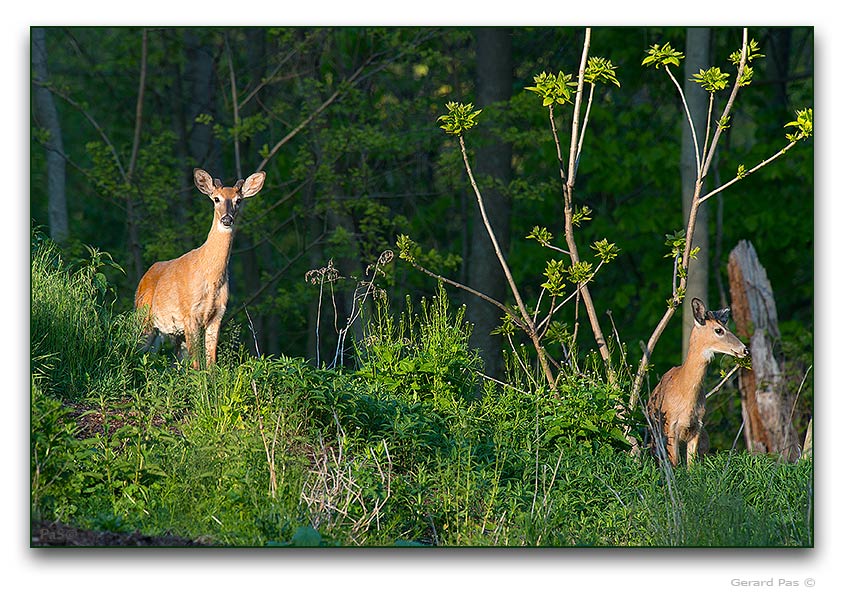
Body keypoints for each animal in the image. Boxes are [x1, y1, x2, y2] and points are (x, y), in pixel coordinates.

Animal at [135, 166, 268, 368]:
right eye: (216, 199)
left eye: (238, 200)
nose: (227, 219)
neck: (211, 277)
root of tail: (143, 279)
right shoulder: (190, 314)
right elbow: (197, 364)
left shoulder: (217, 315)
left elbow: (211, 363)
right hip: (144, 319)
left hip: (170, 333)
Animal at [648, 298, 748, 464]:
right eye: (719, 330)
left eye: (726, 327)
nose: (745, 349)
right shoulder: (670, 425)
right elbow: (674, 464)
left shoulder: (697, 427)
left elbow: (692, 465)